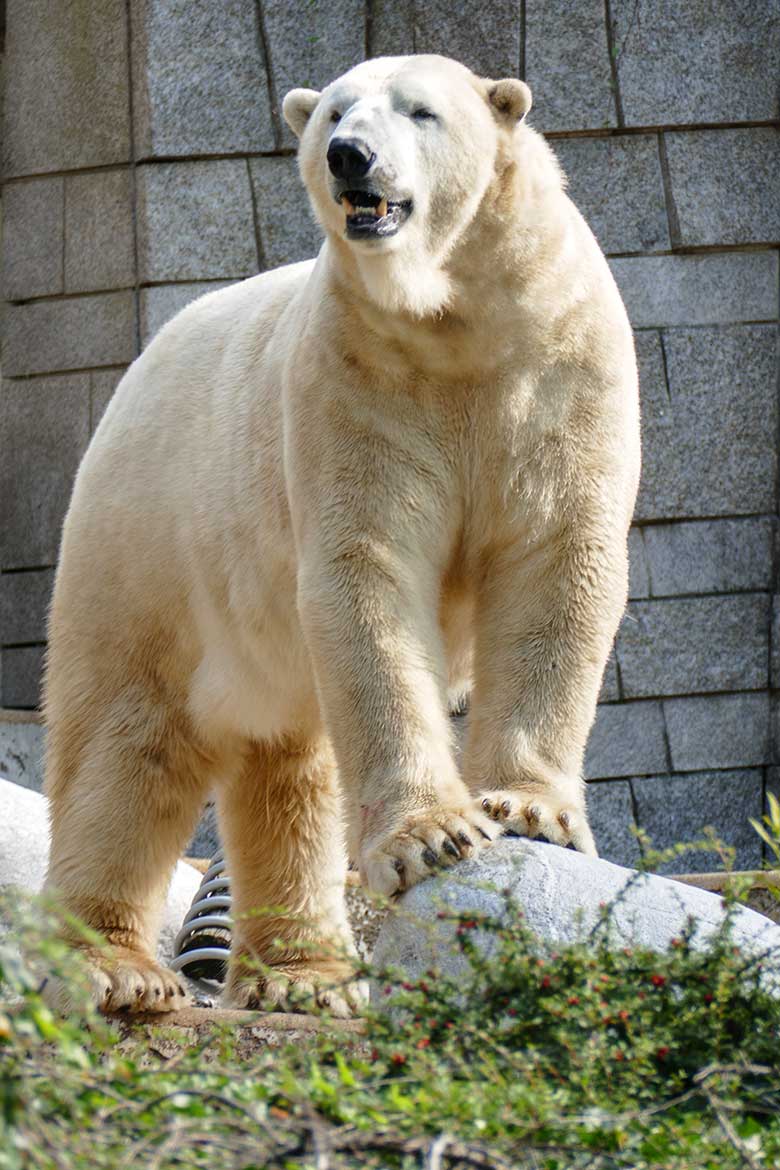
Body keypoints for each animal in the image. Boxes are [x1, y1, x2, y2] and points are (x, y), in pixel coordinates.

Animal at [44, 57, 640, 1015]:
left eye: (421, 111)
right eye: (331, 112)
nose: (349, 156)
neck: (455, 319)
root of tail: (141, 363)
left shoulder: (557, 365)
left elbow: (555, 562)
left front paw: (527, 812)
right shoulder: (355, 382)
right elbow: (369, 575)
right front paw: (435, 838)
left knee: (287, 767)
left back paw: (305, 980)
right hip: (147, 546)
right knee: (126, 741)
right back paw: (119, 969)